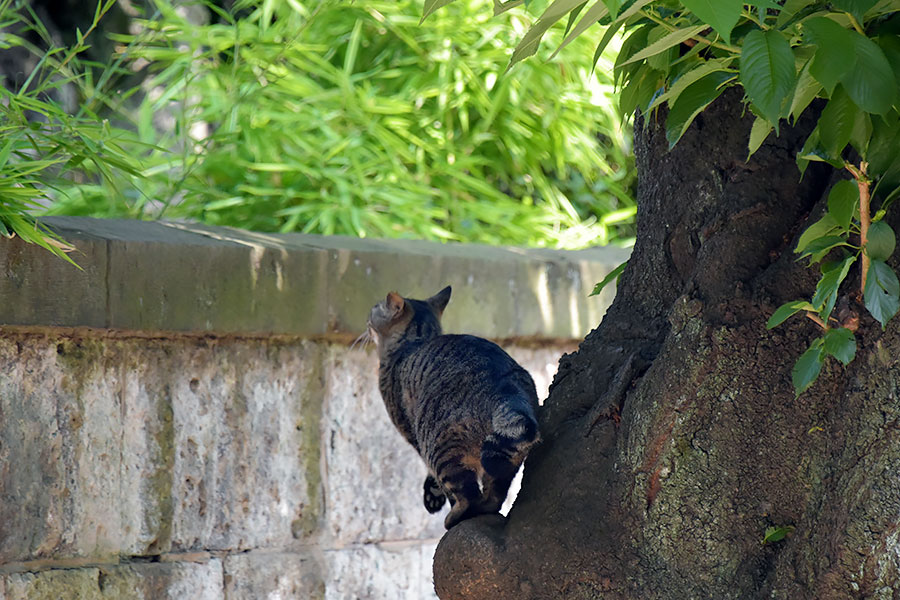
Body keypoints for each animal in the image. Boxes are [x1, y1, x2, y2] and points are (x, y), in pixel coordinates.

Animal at [368, 284, 540, 524]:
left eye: (376, 307)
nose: (368, 317)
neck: (414, 341)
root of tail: (504, 382)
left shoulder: (411, 433)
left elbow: (438, 480)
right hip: (507, 457)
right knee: (495, 494)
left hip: (439, 447)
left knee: (468, 495)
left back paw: (454, 515)